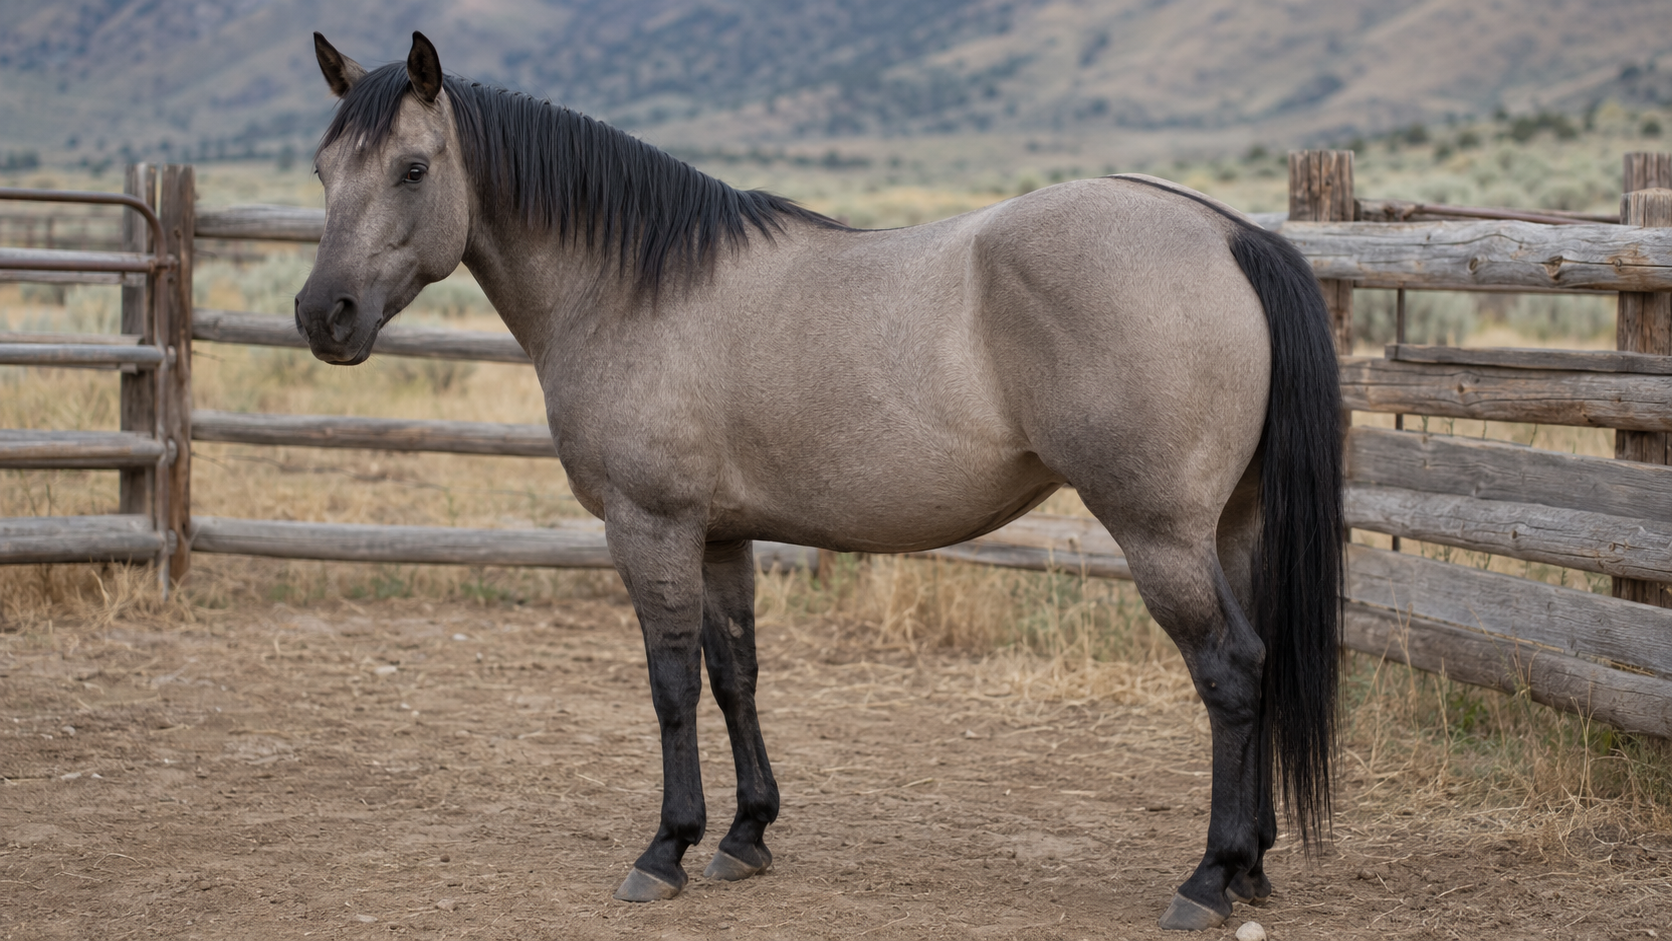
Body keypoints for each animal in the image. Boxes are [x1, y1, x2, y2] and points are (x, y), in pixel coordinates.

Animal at [296, 31, 1343, 931]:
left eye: (413, 168)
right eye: (321, 170)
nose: (322, 315)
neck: (633, 286)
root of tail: (1227, 235)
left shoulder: (650, 524)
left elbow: (670, 681)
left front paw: (666, 848)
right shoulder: (721, 532)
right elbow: (735, 674)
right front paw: (745, 832)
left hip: (1160, 532)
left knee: (1230, 669)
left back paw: (1208, 876)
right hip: (1230, 527)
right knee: (1259, 660)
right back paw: (1251, 865)